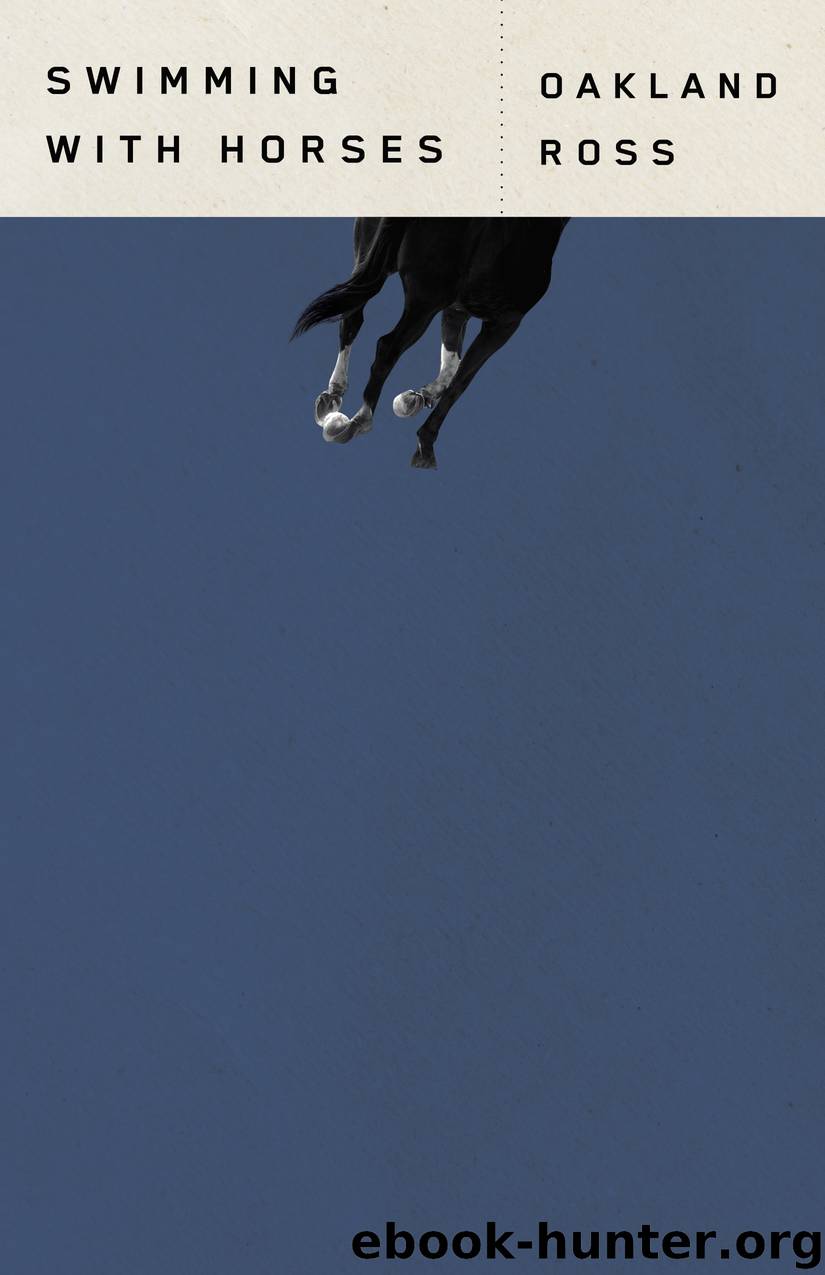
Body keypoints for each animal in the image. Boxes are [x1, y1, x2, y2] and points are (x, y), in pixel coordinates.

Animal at [292, 217, 569, 469]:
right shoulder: (504, 323)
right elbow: (461, 380)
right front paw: (425, 445)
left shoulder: (457, 309)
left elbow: (452, 361)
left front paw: (417, 397)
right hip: (425, 300)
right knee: (387, 346)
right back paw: (359, 421)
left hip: (369, 259)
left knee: (351, 319)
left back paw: (333, 396)